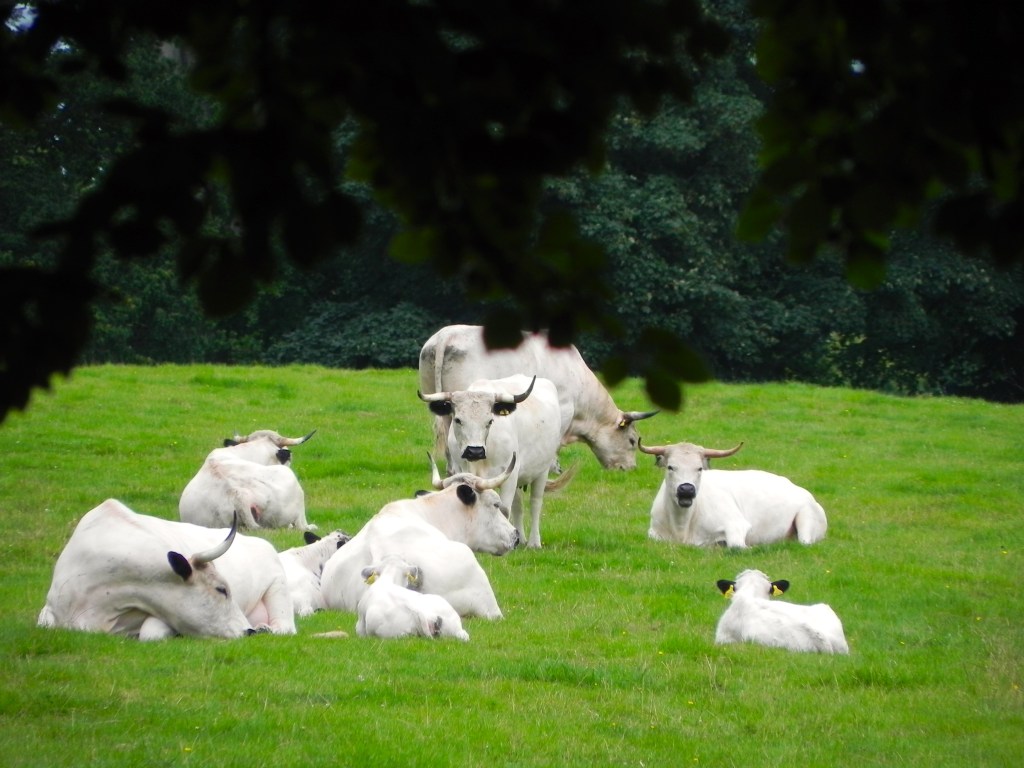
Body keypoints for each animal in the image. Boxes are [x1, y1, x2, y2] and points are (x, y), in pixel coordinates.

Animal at [418, 374, 569, 549]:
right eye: (458, 420)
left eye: (490, 421)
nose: (474, 451)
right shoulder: (462, 470)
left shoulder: (510, 474)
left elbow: (505, 509)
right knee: (518, 505)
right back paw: (522, 538)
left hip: (542, 470)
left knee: (535, 503)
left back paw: (534, 542)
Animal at [640, 440, 828, 548]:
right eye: (671, 467)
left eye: (699, 468)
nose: (686, 489)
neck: (682, 526)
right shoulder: (653, 533)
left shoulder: (737, 525)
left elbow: (737, 547)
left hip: (806, 520)